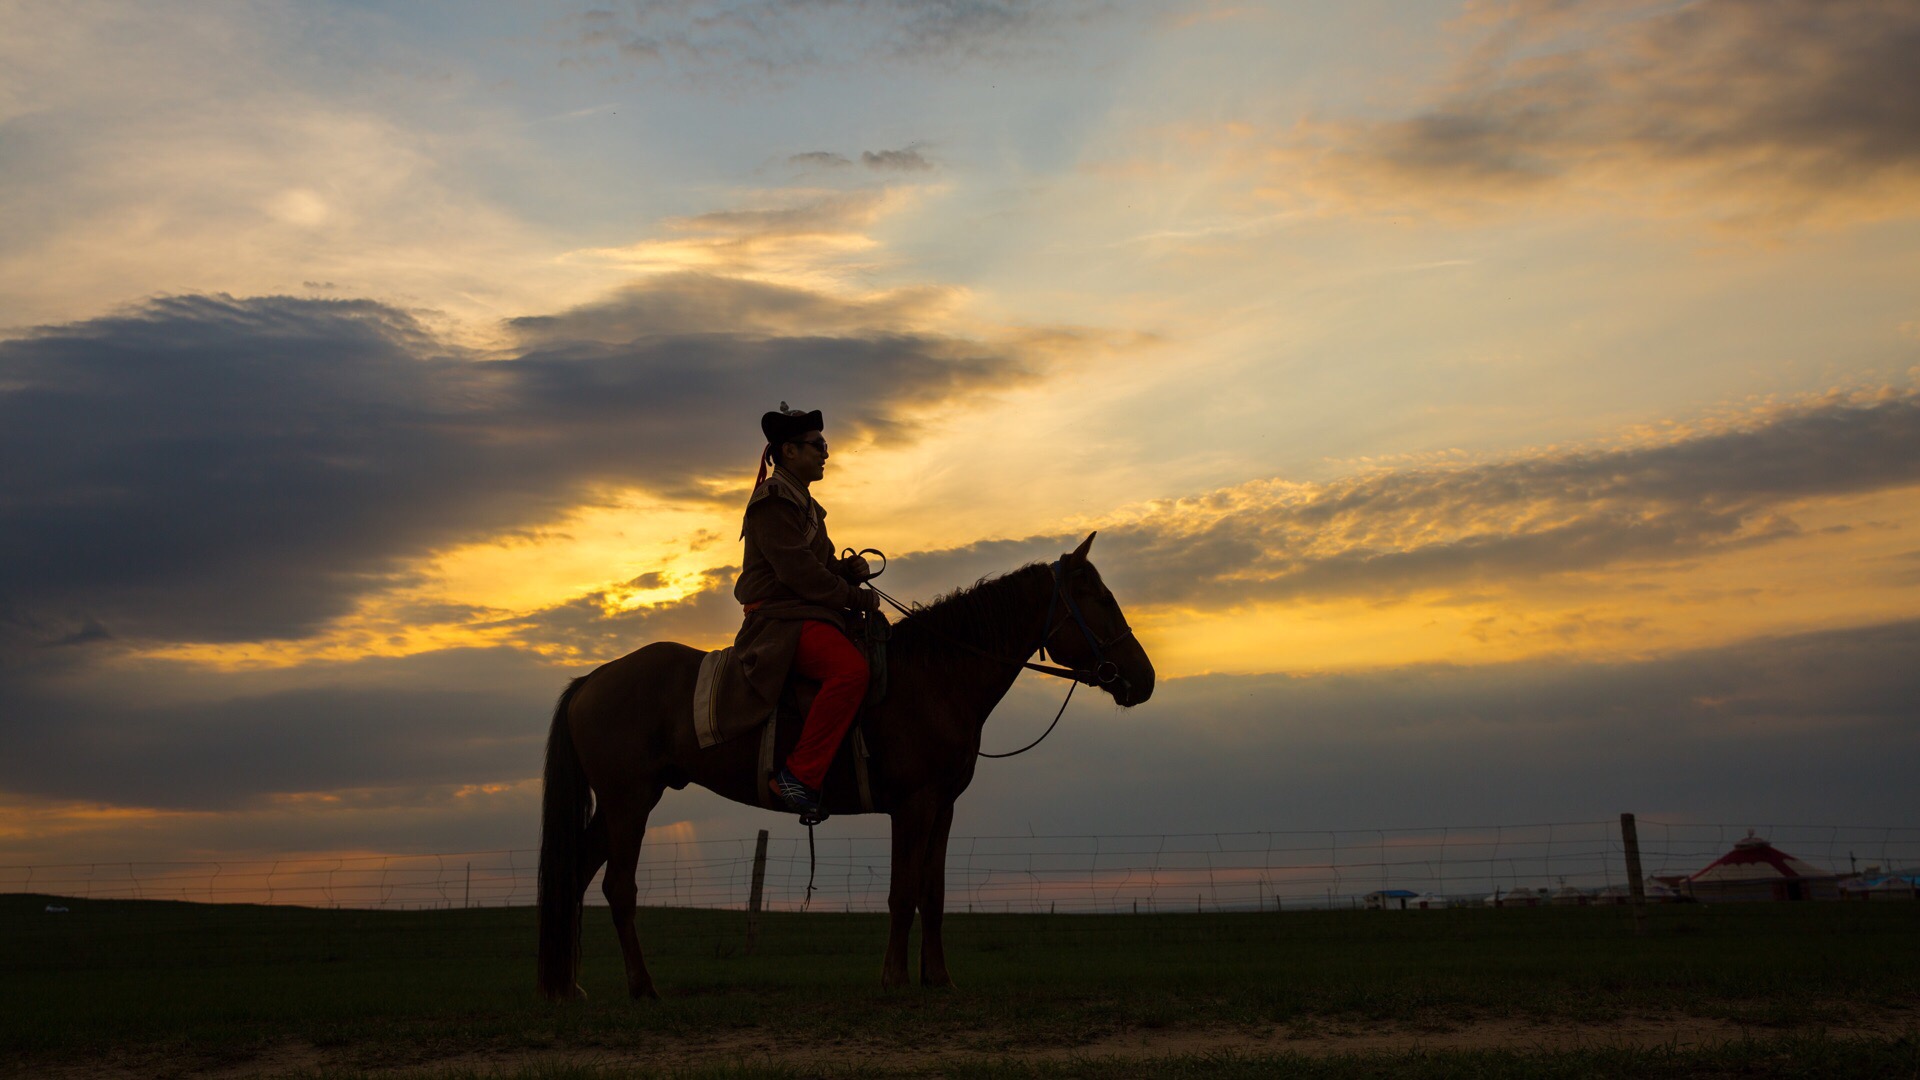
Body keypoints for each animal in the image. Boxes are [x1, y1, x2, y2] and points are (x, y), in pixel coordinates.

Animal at [533, 526, 1144, 991]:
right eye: (1100, 600)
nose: (1144, 677)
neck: (936, 677)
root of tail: (592, 680)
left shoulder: (943, 806)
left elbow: (934, 892)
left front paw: (938, 980)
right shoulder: (914, 805)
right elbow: (903, 892)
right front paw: (895, 980)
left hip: (618, 805)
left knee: (576, 875)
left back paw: (569, 986)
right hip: (629, 802)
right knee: (618, 887)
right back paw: (641, 987)